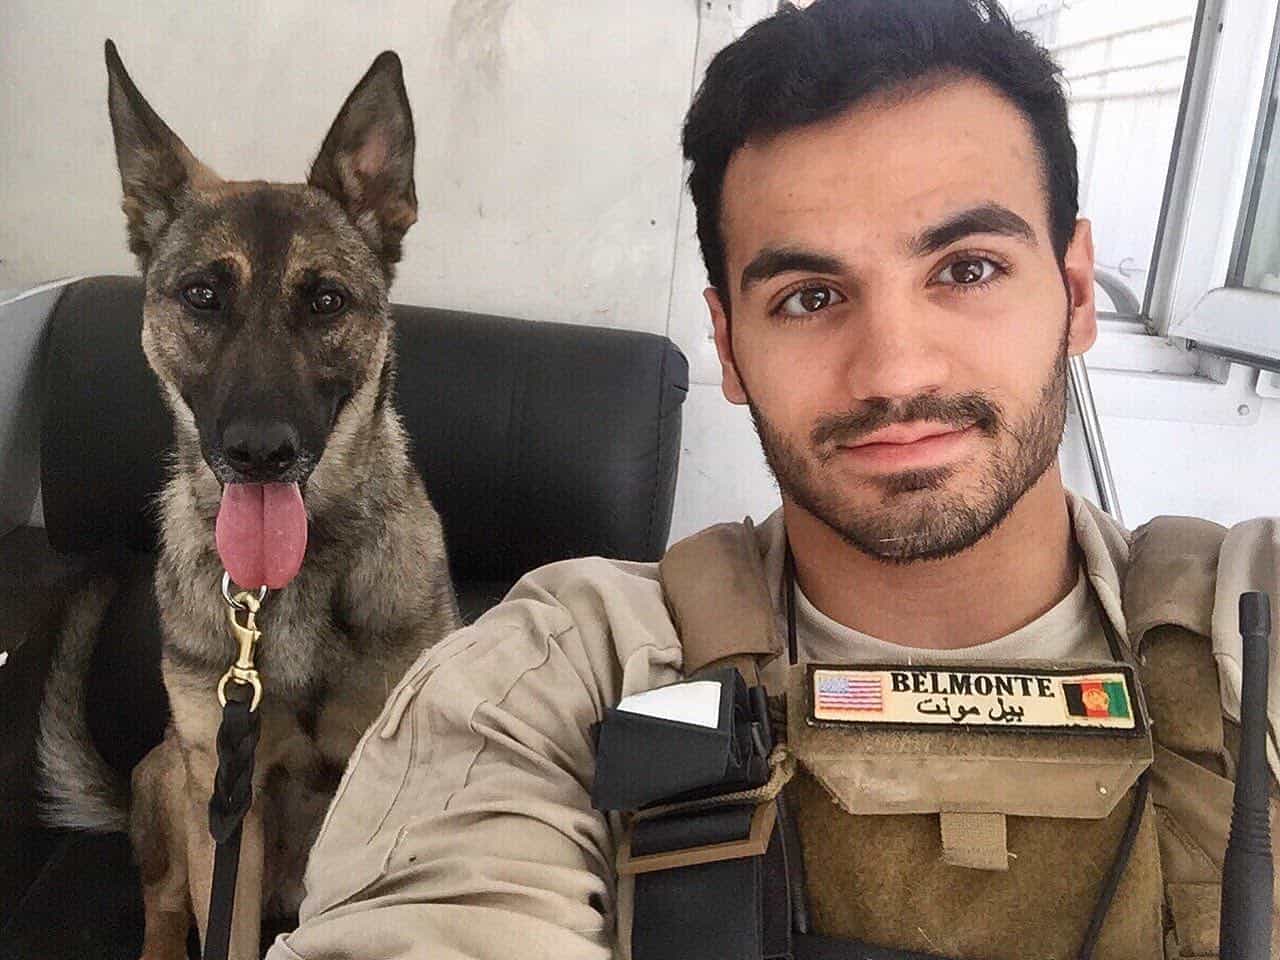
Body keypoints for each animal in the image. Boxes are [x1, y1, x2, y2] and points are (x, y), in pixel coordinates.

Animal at [36, 41, 460, 957]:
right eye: (202, 295)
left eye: (326, 300)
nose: (260, 453)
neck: (290, 591)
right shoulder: (224, 796)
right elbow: (217, 927)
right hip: (170, 772)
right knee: (163, 900)